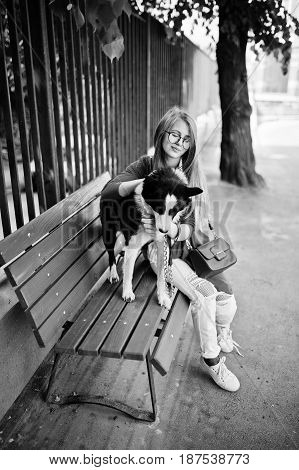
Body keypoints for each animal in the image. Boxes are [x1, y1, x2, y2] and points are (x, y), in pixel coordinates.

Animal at [99, 168, 203, 308]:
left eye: (174, 210)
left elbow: (161, 275)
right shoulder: (133, 246)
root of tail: (109, 182)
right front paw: (127, 293)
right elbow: (129, 272)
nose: (163, 231)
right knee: (111, 255)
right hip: (109, 232)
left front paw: (162, 296)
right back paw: (113, 273)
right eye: (159, 208)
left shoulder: (162, 245)